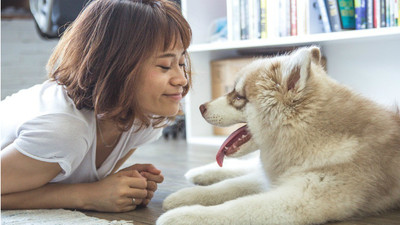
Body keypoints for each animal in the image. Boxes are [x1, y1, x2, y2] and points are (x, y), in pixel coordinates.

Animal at [156, 46, 400, 224]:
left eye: (238, 97)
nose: (200, 107)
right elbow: (228, 187)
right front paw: (184, 197)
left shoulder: (300, 197)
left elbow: (239, 207)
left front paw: (184, 216)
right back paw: (200, 173)